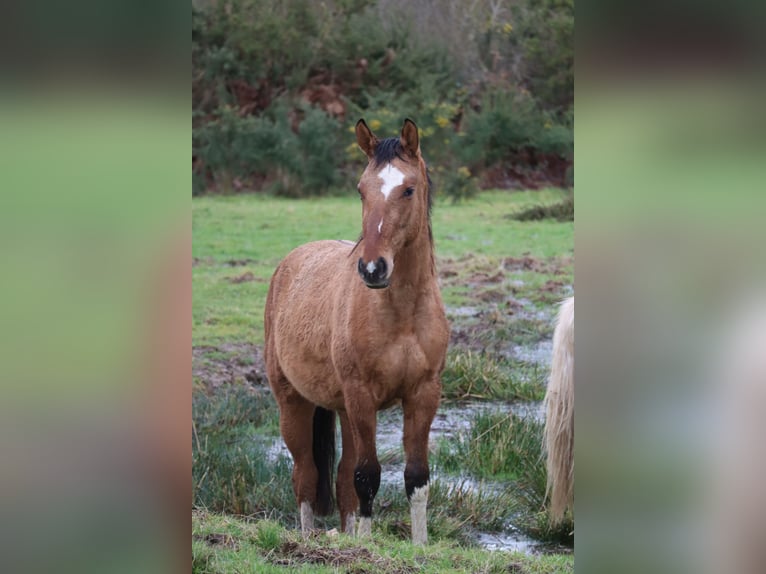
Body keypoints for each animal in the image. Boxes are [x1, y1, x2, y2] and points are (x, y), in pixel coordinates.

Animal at [268, 120, 452, 544]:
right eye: (360, 190)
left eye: (408, 189)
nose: (372, 268)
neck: (402, 313)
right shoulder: (361, 395)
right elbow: (367, 476)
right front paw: (367, 545)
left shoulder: (423, 394)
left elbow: (416, 478)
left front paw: (419, 545)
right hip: (295, 404)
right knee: (306, 476)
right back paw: (308, 537)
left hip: (344, 411)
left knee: (339, 481)